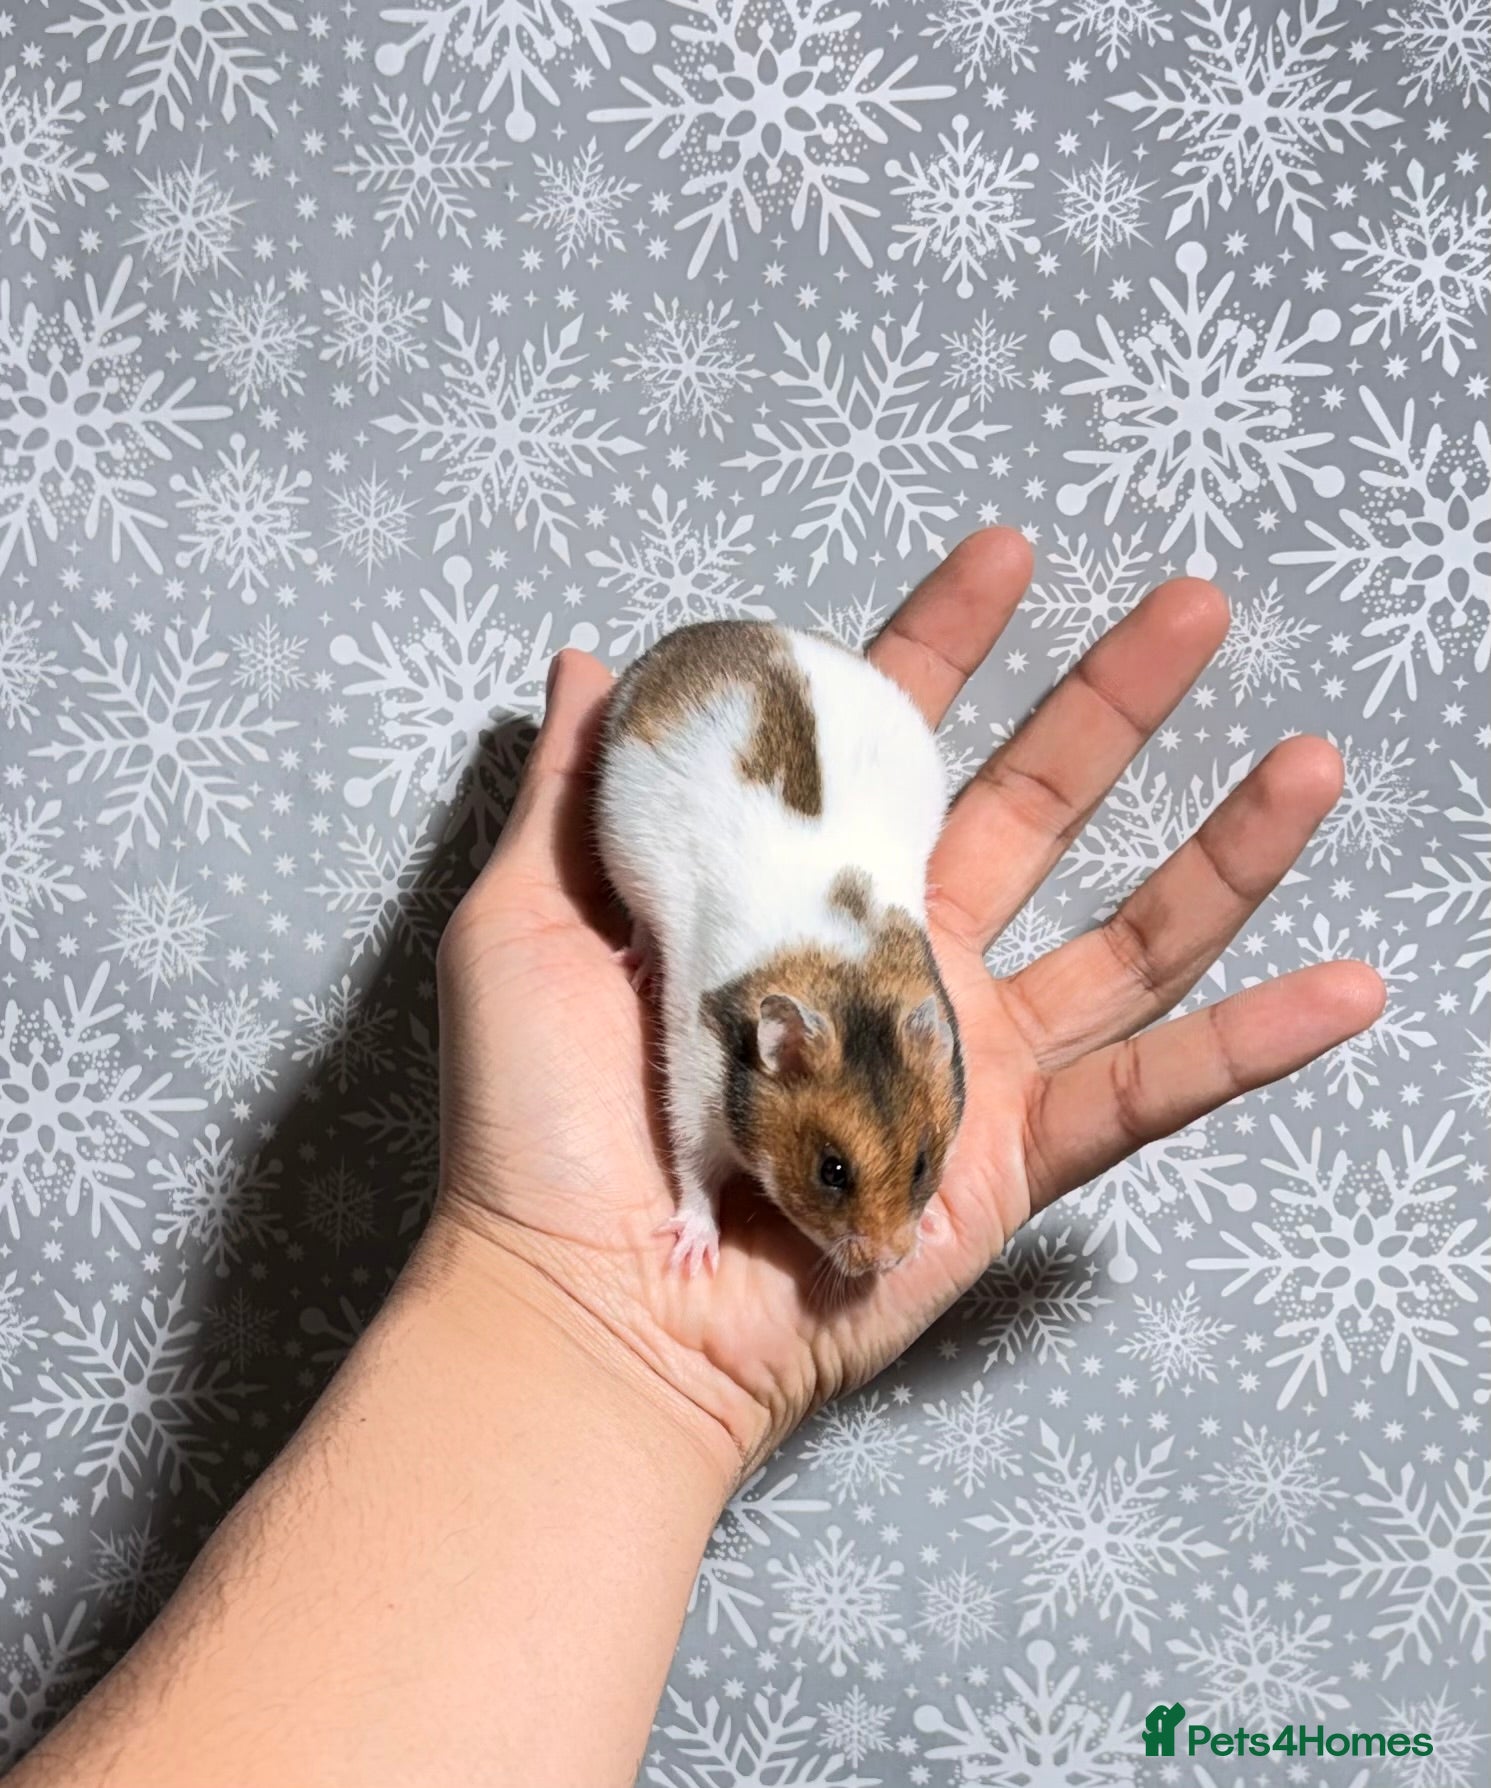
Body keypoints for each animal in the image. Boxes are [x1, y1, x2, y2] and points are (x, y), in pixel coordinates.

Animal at [593, 619, 967, 1280]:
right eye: (832, 1171)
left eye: (923, 1162)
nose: (890, 1264)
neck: (845, 973)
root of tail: (712, 629)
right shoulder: (692, 1087)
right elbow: (693, 1170)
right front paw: (693, 1259)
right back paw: (639, 966)